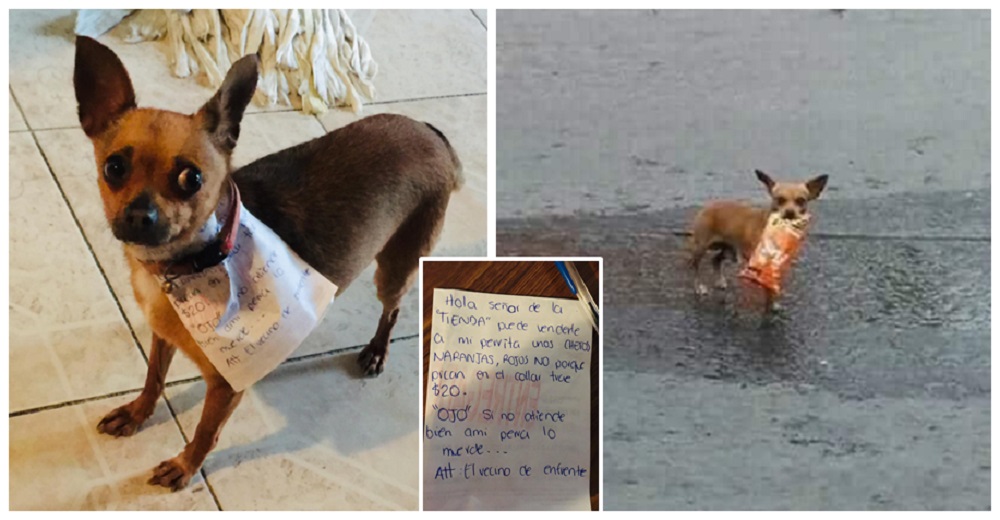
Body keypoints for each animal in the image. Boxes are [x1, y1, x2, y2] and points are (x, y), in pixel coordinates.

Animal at [75, 37, 464, 492]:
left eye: (192, 179)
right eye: (114, 168)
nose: (140, 215)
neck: (191, 263)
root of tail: (431, 132)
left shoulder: (226, 386)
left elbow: (206, 431)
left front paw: (186, 465)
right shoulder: (162, 336)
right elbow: (154, 376)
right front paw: (138, 414)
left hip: (397, 263)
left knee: (394, 306)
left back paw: (376, 350)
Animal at [688, 169, 828, 302]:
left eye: (801, 201)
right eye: (779, 200)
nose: (789, 212)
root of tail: (708, 206)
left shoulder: (777, 265)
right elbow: (768, 289)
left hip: (729, 250)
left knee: (715, 260)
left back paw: (720, 281)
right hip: (701, 247)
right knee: (694, 267)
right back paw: (698, 287)